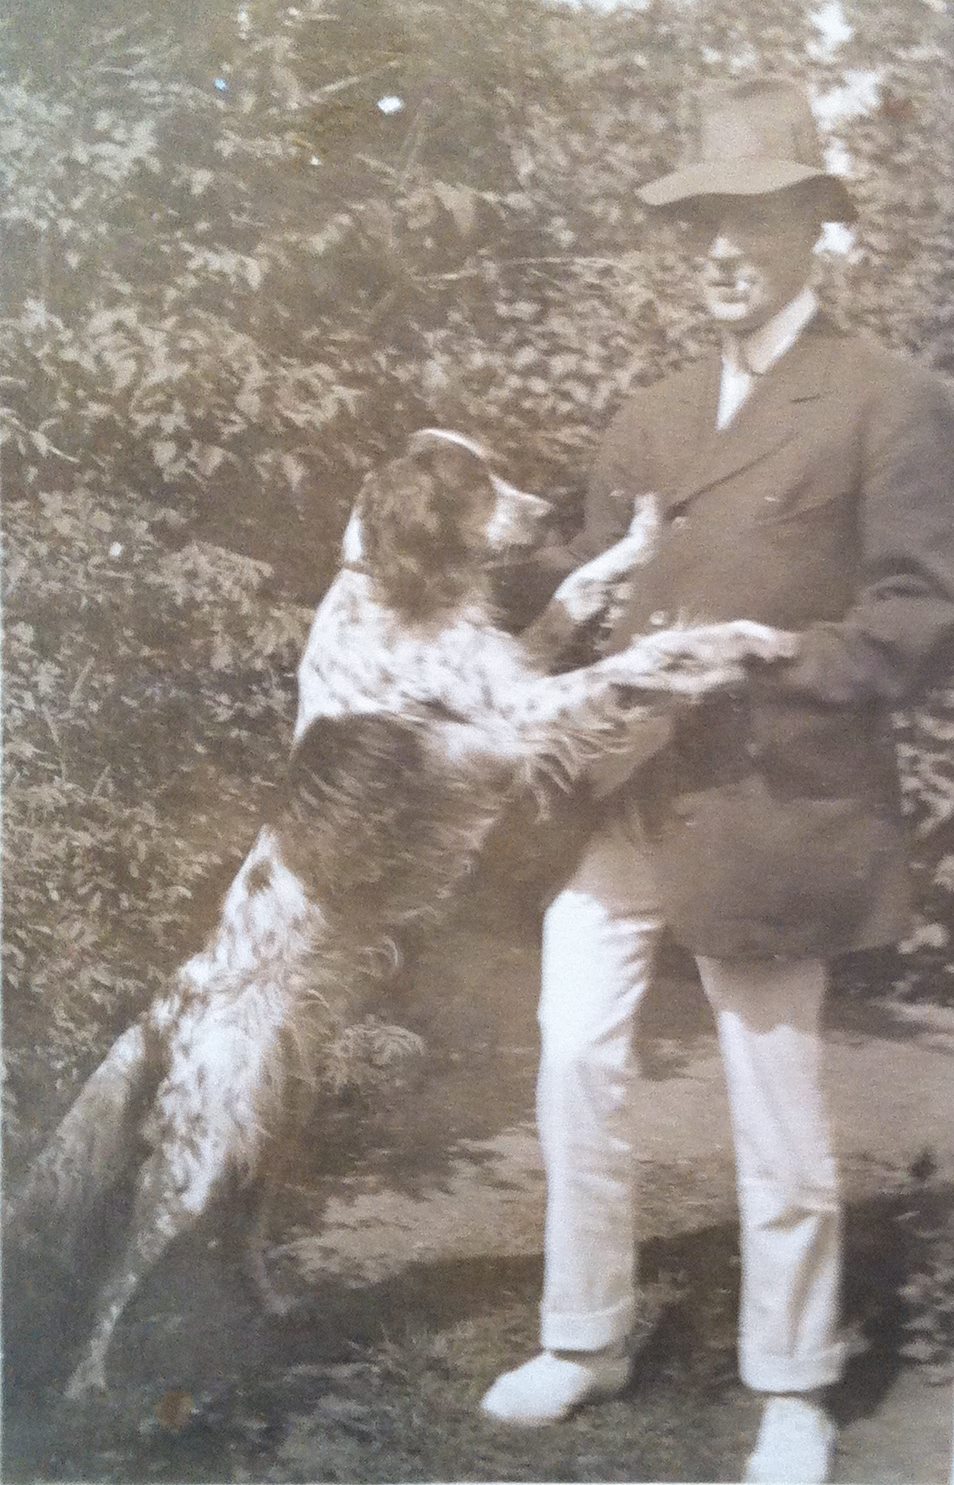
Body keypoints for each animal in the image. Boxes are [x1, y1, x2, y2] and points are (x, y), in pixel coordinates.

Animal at [9, 424, 796, 1395]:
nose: (556, 510)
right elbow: (641, 663)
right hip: (203, 1138)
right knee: (125, 1255)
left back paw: (273, 1308)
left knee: (243, 1226)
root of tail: (171, 998)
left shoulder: (519, 665)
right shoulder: (524, 710)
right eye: (469, 483)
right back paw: (86, 1381)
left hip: (278, 1119)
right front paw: (740, 641)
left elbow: (575, 590)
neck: (395, 591)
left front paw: (641, 532)